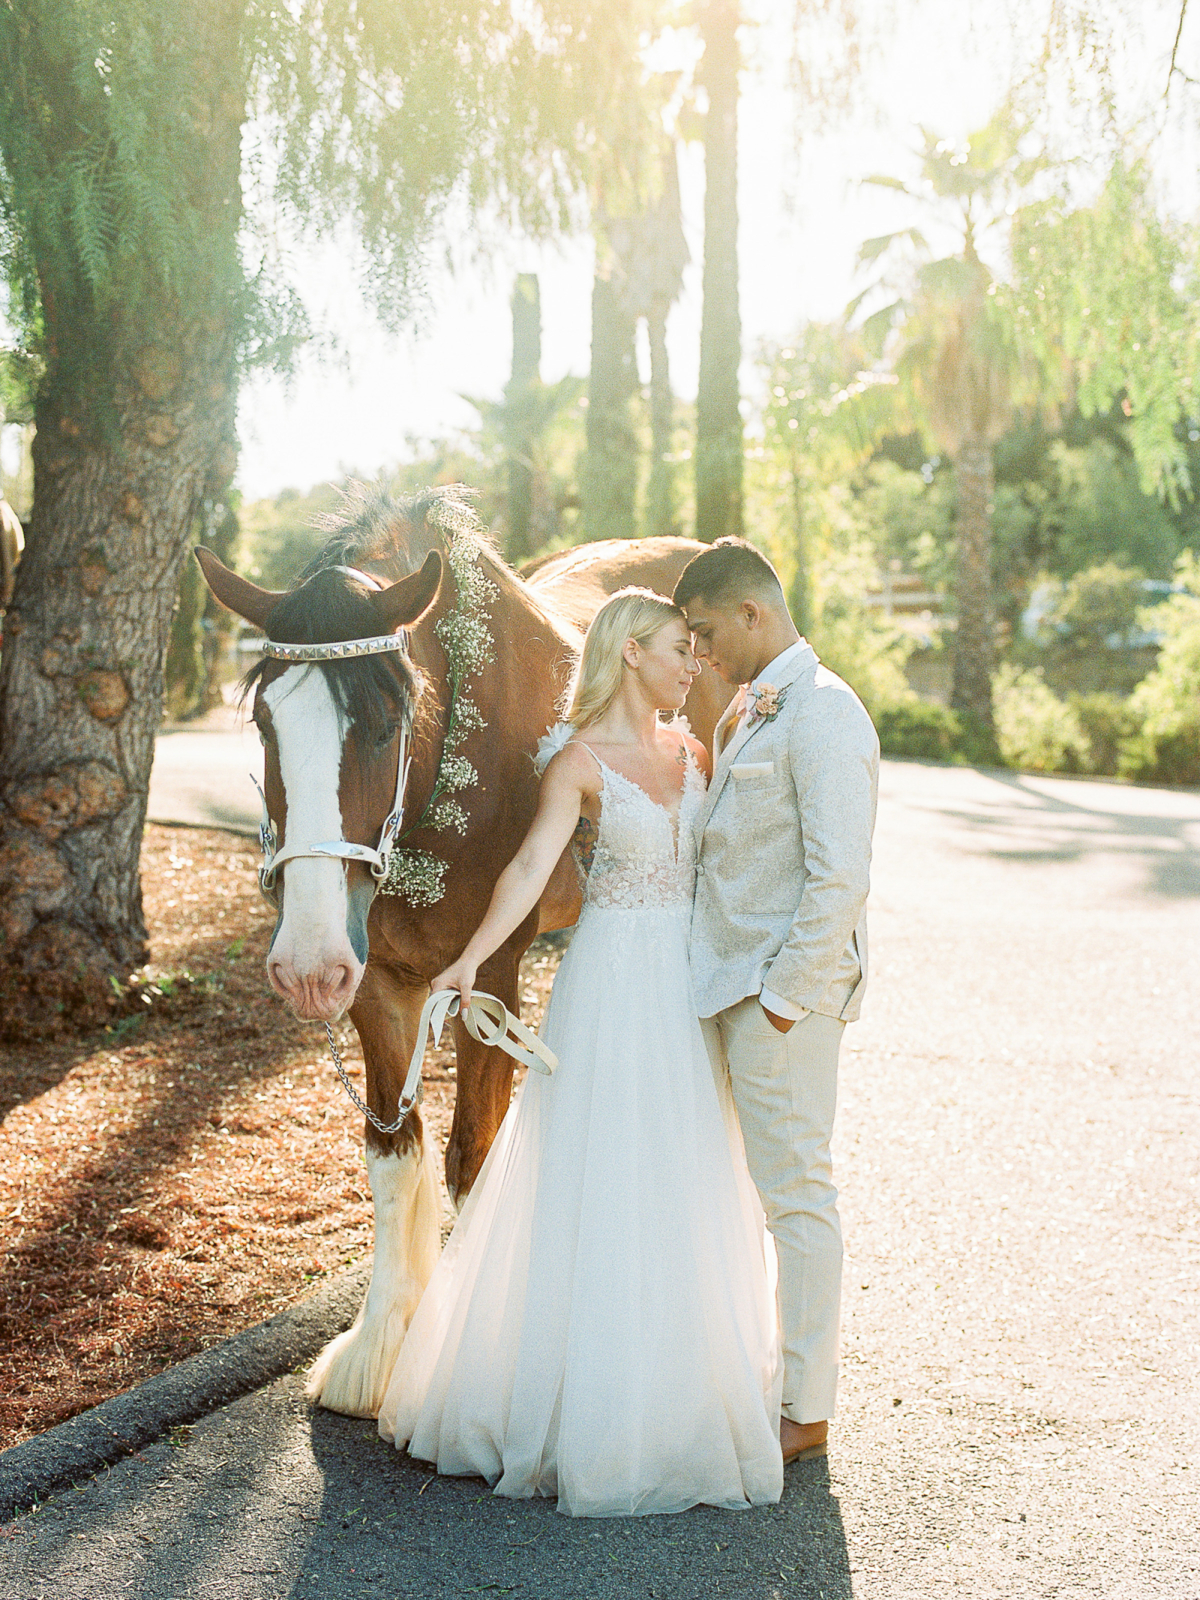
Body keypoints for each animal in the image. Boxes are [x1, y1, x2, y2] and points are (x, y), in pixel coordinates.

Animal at [197, 486, 732, 1414]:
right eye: (264, 723)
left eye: (386, 723)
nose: (306, 967)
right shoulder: (379, 984)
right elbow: (393, 1157)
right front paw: (381, 1347)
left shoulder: (490, 978)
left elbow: (472, 1160)